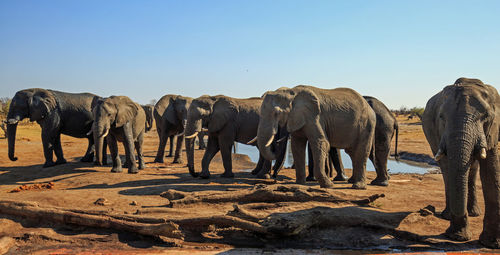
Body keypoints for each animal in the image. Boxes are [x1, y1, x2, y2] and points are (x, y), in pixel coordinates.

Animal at [422, 77, 500, 247]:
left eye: (486, 116)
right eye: (441, 117)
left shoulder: (493, 130)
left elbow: (491, 171)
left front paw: (491, 244)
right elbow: (449, 167)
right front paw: (457, 237)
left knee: (472, 169)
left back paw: (473, 213)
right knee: (446, 170)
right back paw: (448, 215)